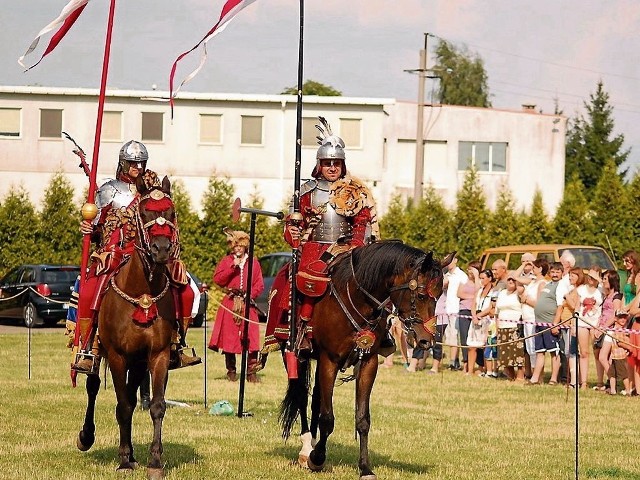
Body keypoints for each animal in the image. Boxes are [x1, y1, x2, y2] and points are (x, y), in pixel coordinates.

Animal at [79, 174, 181, 478]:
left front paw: (155, 461)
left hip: (138, 361)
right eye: (144, 212)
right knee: (93, 386)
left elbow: (156, 406)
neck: (142, 292)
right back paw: (87, 437)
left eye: (171, 212)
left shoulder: (157, 355)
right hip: (102, 352)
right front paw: (124, 460)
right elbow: (122, 406)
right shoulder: (117, 356)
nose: (161, 250)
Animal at [282, 240, 456, 480]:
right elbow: (327, 418)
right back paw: (307, 448)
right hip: (296, 355)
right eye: (421, 296)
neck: (357, 299)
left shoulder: (368, 363)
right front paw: (317, 458)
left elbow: (363, 419)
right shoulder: (329, 361)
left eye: (438, 296)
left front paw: (365, 468)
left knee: (316, 396)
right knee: (301, 395)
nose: (426, 340)